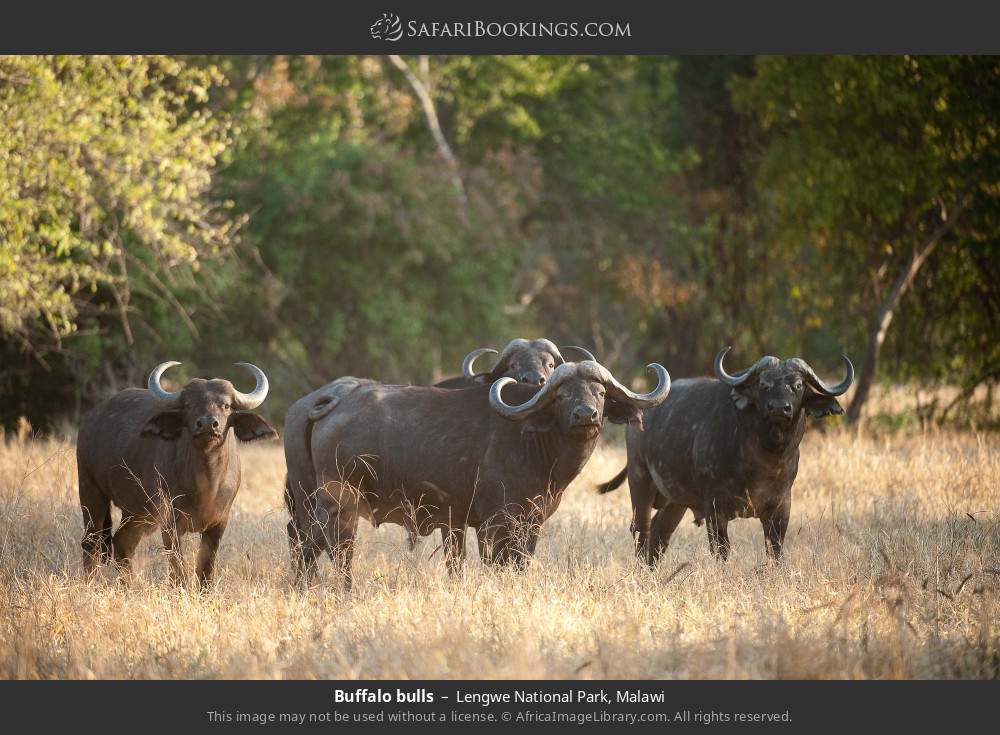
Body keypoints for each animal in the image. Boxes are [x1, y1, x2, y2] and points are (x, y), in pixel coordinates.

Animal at [77, 362, 277, 588]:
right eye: (189, 405)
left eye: (226, 405)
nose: (207, 423)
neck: (208, 484)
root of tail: (92, 418)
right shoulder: (170, 524)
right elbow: (178, 569)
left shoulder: (219, 524)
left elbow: (206, 568)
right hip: (90, 490)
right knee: (91, 541)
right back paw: (92, 582)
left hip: (137, 511)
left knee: (121, 542)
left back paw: (127, 585)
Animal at [283, 359, 670, 588]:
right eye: (563, 395)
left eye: (600, 392)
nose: (585, 415)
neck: (533, 441)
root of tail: (336, 400)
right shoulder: (494, 523)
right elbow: (495, 565)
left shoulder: (530, 524)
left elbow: (519, 564)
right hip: (339, 505)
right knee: (329, 548)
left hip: (308, 500)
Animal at [597, 347, 853, 564]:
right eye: (764, 384)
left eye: (798, 385)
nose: (779, 408)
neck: (765, 459)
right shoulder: (714, 509)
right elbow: (721, 551)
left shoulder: (781, 507)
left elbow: (775, 551)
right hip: (640, 480)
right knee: (641, 528)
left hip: (675, 500)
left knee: (661, 530)